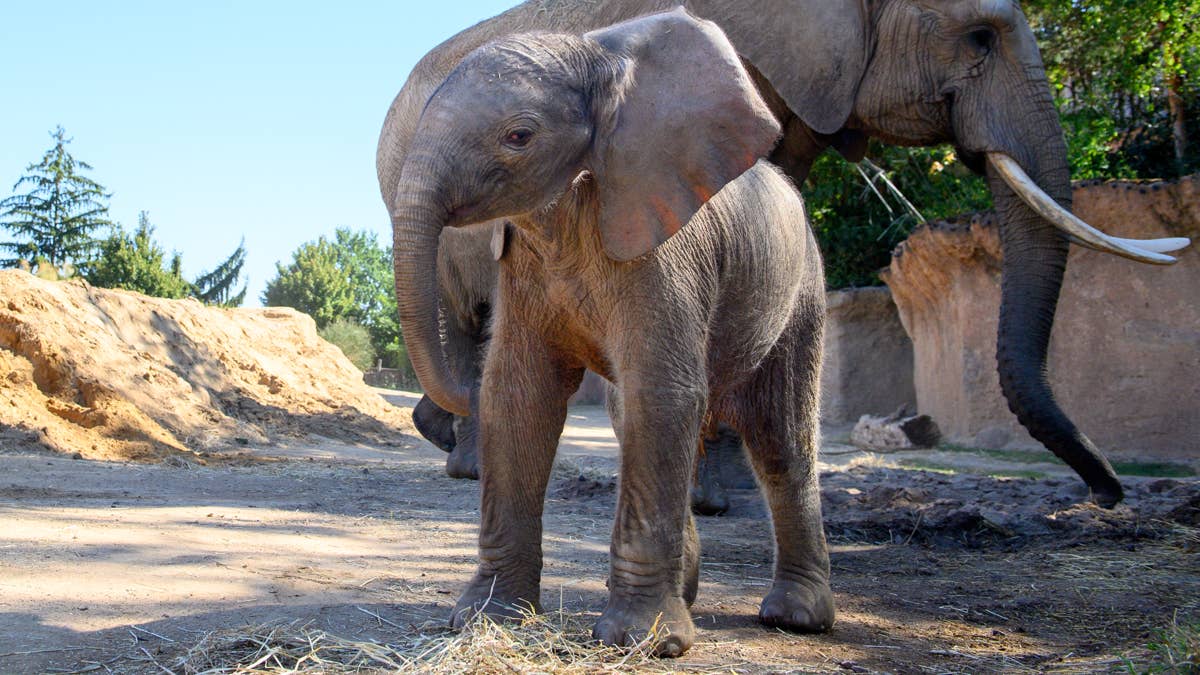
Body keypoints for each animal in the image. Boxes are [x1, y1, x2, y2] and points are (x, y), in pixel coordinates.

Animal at [379, 0, 1189, 509]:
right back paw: (466, 462)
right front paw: (714, 496)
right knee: (467, 317)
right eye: (981, 37)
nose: (1106, 496)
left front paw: (729, 492)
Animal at [385, 10, 833, 655]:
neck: (600, 60)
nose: (436, 416)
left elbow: (661, 394)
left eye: (519, 136)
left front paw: (642, 642)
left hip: (803, 295)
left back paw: (794, 617)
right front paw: (485, 619)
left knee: (780, 436)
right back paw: (691, 593)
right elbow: (519, 398)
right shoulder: (524, 264)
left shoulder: (669, 248)